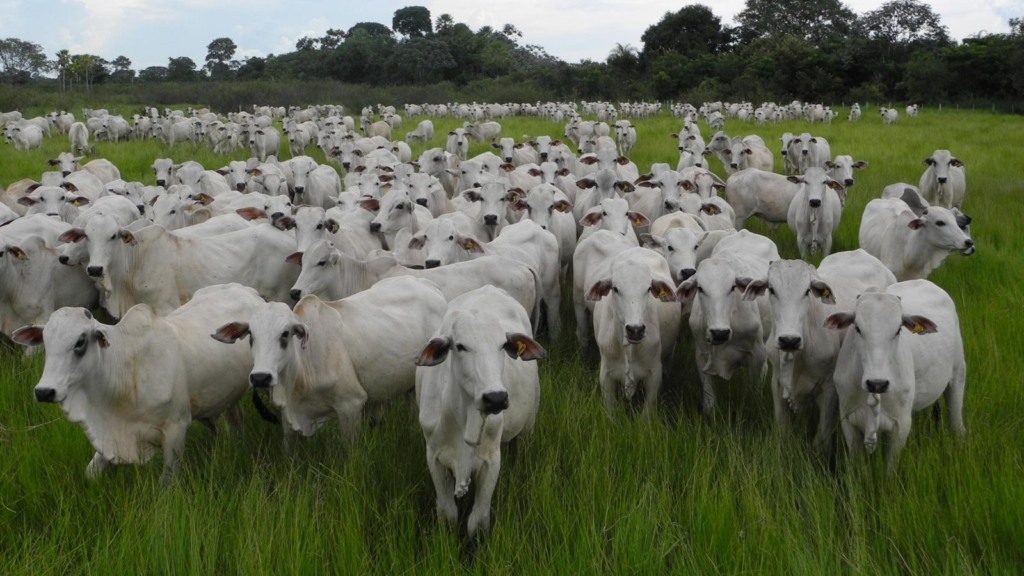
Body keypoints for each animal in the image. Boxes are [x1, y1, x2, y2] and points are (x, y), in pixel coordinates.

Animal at [16, 284, 264, 481]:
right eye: (45, 342)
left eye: (80, 342)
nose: (45, 391)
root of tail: (246, 290)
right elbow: (91, 473)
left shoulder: (176, 428)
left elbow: (167, 482)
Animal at [413, 284, 548, 532]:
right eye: (460, 346)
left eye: (503, 345)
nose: (495, 398)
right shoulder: (434, 456)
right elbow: (448, 513)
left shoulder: (491, 460)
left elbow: (477, 521)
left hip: (529, 423)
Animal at [823, 278, 966, 471]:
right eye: (857, 328)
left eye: (898, 329)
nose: (877, 383)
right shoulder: (848, 420)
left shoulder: (901, 426)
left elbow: (890, 469)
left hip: (958, 375)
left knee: (956, 424)